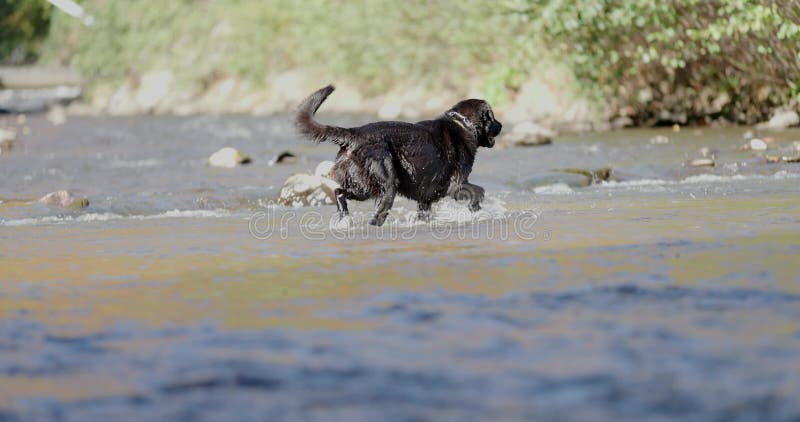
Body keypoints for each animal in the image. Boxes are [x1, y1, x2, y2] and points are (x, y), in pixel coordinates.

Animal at [296, 83, 504, 226]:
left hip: (362, 186)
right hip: (387, 183)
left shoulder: (426, 199)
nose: (501, 125)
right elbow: (479, 191)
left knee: (339, 192)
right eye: (492, 117)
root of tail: (353, 134)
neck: (464, 124)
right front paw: (477, 209)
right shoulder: (456, 185)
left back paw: (344, 218)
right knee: (378, 213)